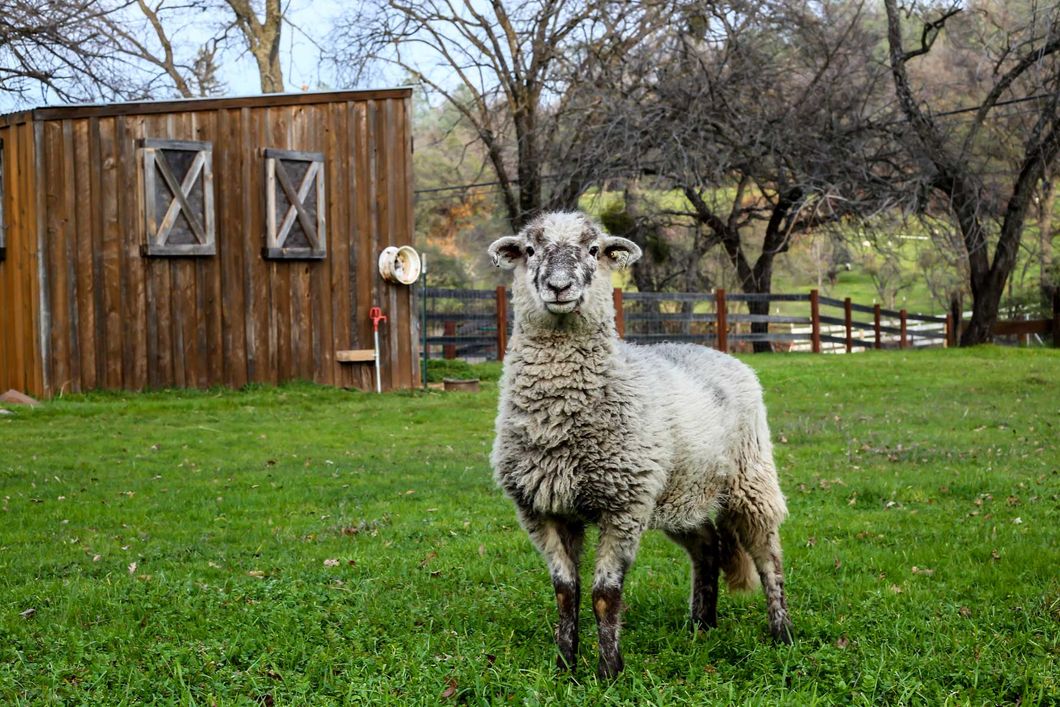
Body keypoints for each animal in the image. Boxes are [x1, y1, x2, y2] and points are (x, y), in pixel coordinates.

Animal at [488, 211, 792, 679]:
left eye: (594, 249)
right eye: (530, 250)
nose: (559, 286)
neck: (560, 422)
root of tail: (718, 351)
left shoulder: (623, 507)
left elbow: (604, 594)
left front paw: (608, 673)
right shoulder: (541, 510)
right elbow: (565, 591)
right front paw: (564, 667)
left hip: (750, 478)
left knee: (767, 555)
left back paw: (782, 633)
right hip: (680, 490)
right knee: (707, 545)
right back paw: (701, 625)